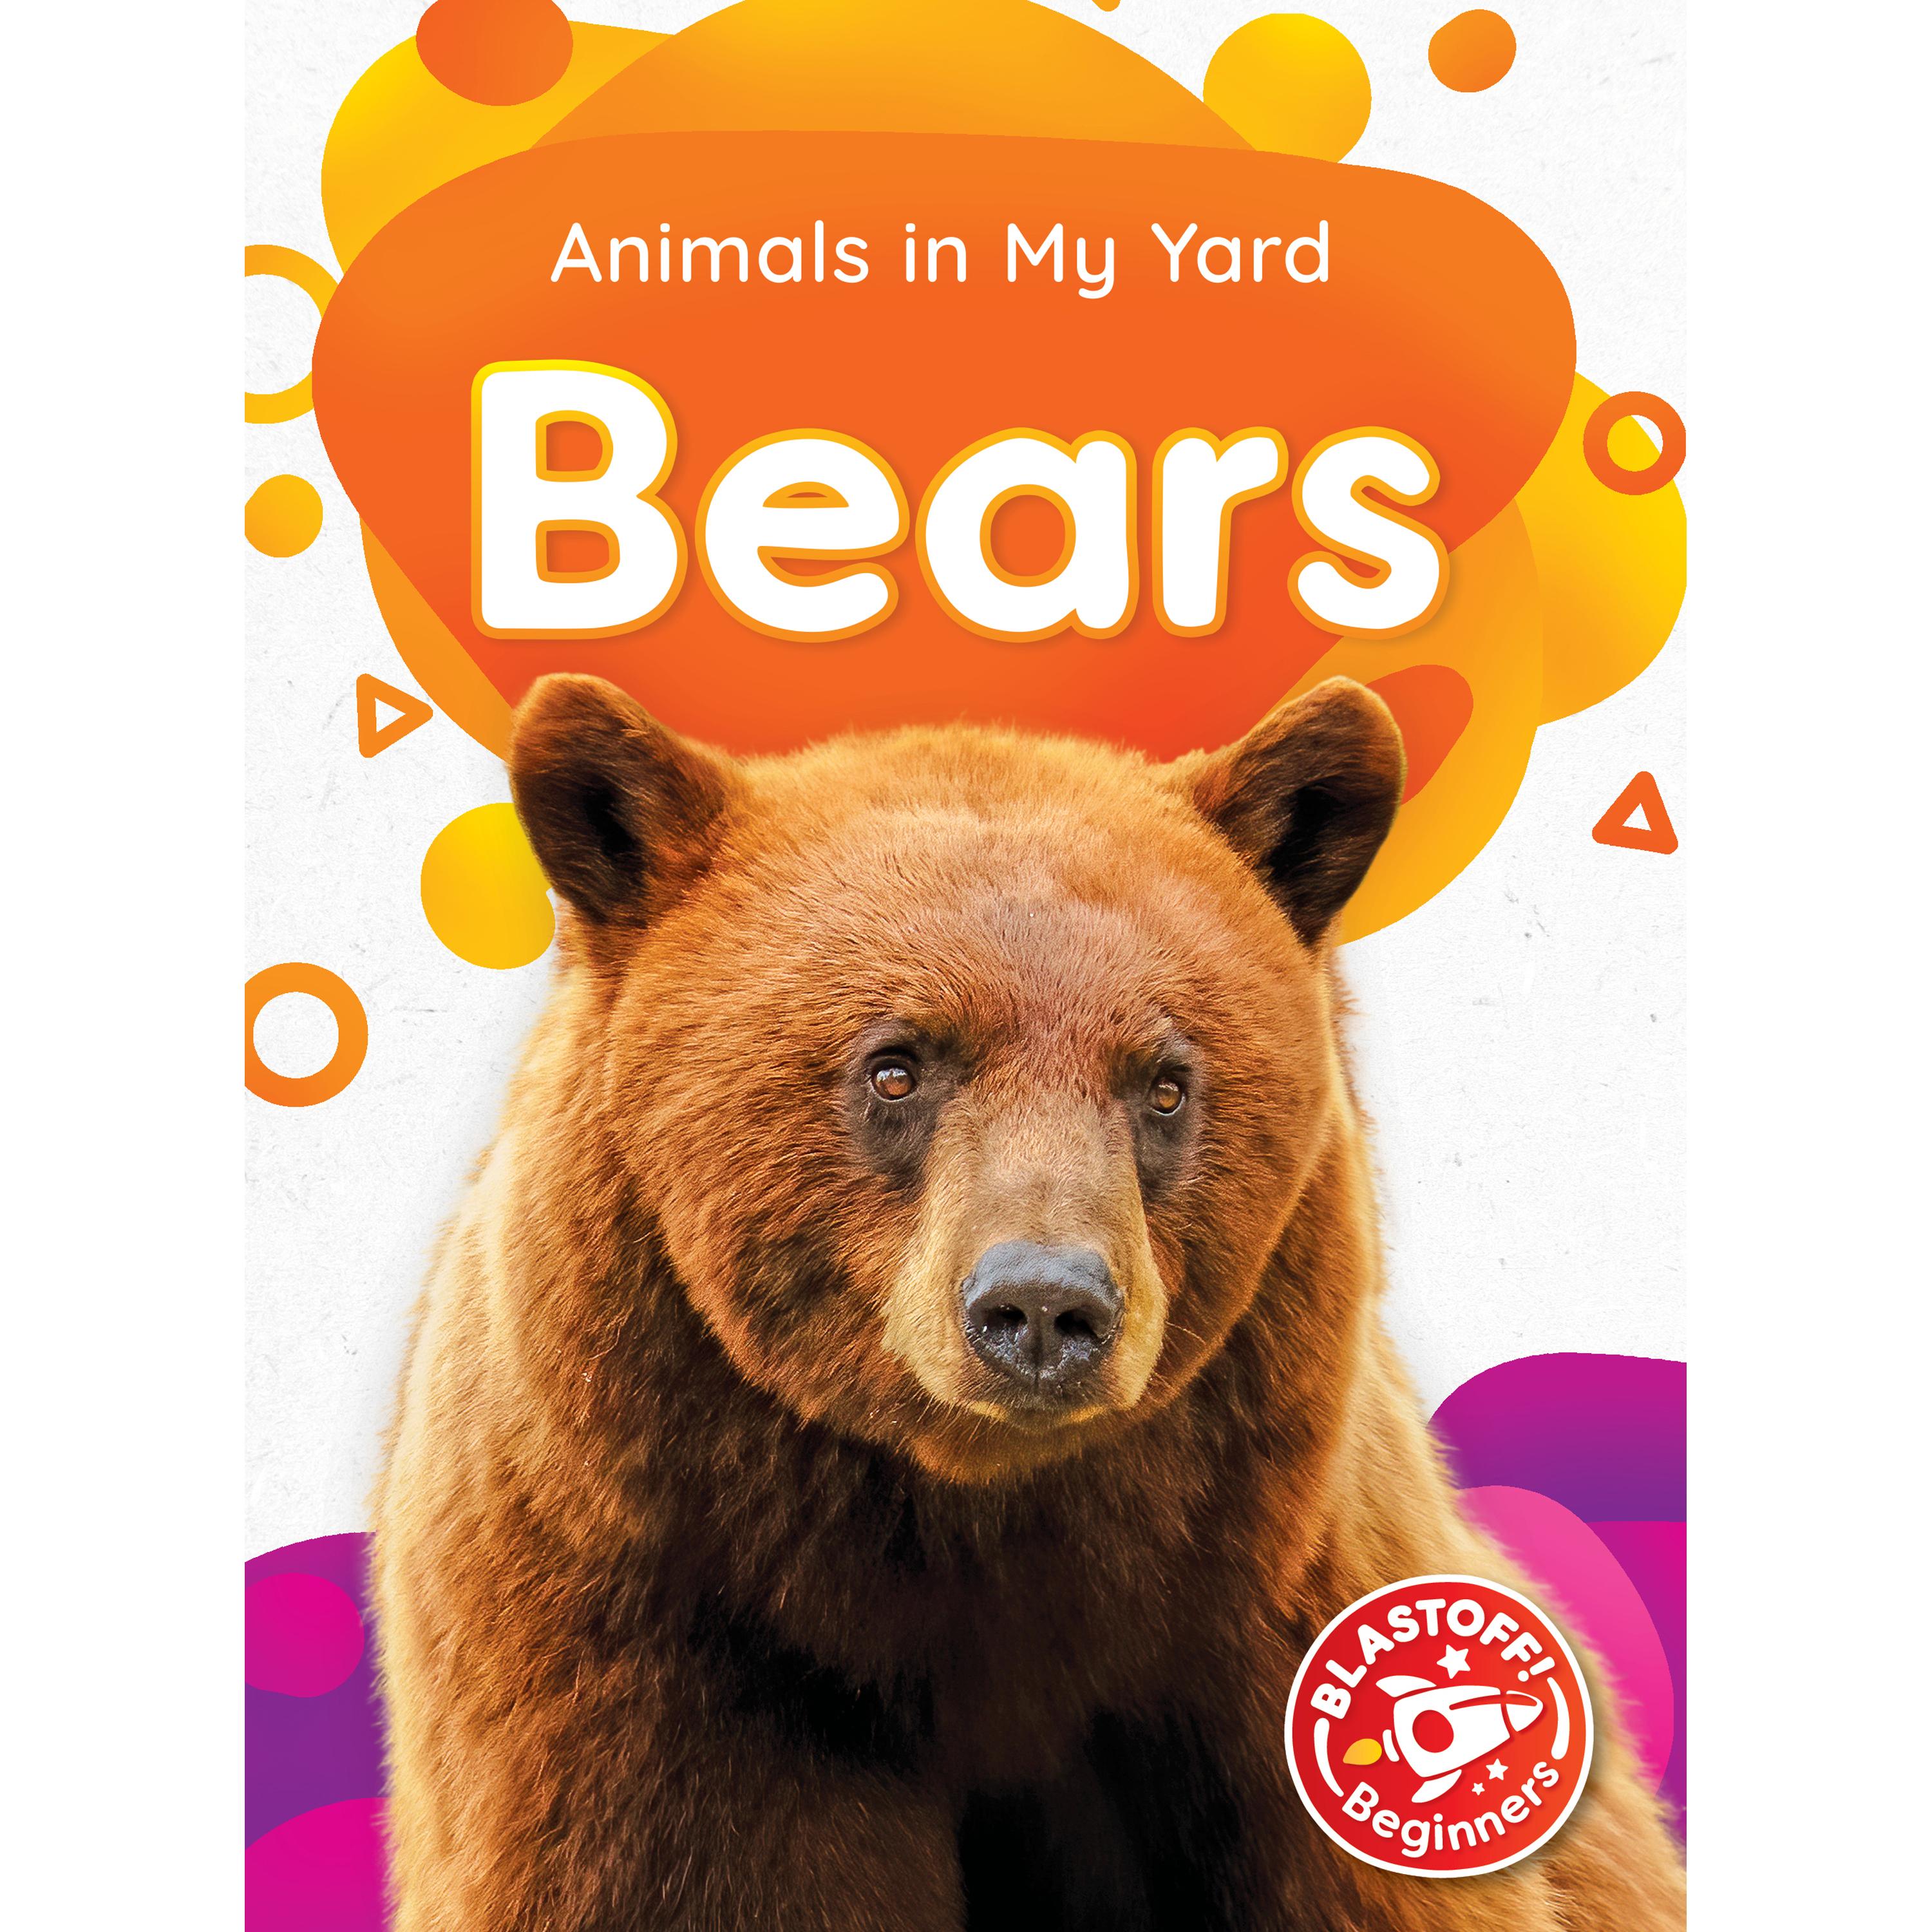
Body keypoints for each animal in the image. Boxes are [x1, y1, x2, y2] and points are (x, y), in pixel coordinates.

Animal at [373, 672, 1685, 1931]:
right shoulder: (655, 1656)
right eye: (896, 1065)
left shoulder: (1262, 1642)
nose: (1045, 1309)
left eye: (1165, 1082)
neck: (984, 1537)